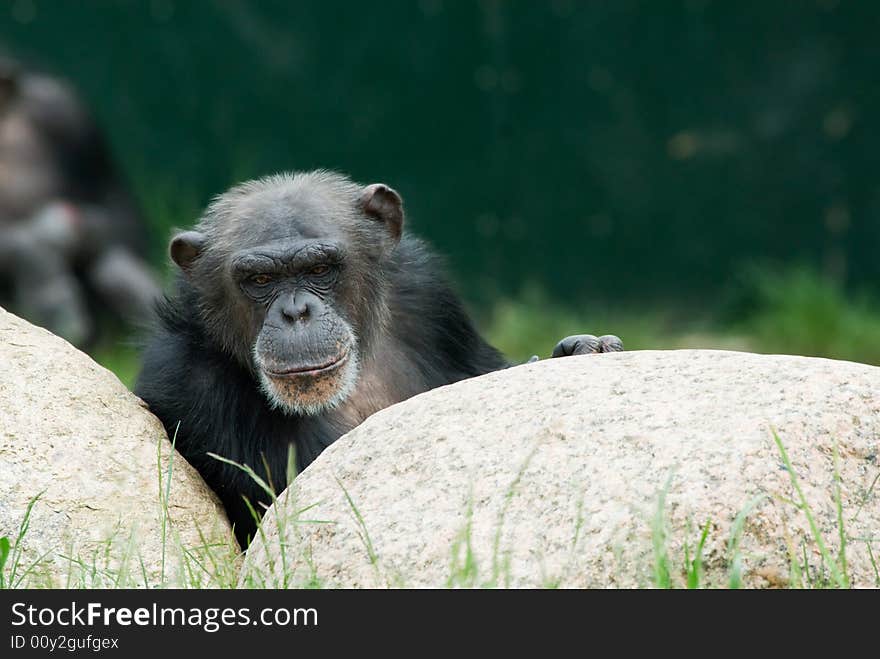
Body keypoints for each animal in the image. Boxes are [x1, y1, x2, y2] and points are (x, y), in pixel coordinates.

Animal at [134, 170, 624, 548]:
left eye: (319, 269)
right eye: (259, 279)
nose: (296, 313)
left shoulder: (428, 295)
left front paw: (579, 348)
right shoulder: (188, 382)